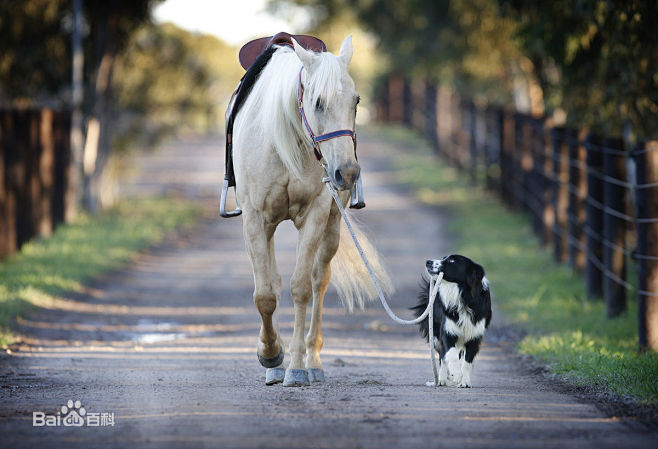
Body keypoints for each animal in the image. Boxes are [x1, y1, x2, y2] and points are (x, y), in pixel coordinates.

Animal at [233, 36, 392, 384]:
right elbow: (265, 294)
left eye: (356, 101)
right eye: (318, 103)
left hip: (332, 223)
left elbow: (302, 287)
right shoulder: (254, 219)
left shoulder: (316, 214)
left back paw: (313, 361)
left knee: (320, 279)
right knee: (273, 282)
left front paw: (295, 366)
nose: (348, 173)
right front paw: (271, 354)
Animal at [408, 254, 490, 386]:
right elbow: (450, 354)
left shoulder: (474, 335)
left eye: (452, 261)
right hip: (436, 334)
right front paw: (455, 374)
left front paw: (465, 382)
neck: (463, 297)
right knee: (443, 356)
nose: (428, 262)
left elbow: (467, 362)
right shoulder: (447, 331)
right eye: (443, 258)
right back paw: (442, 379)